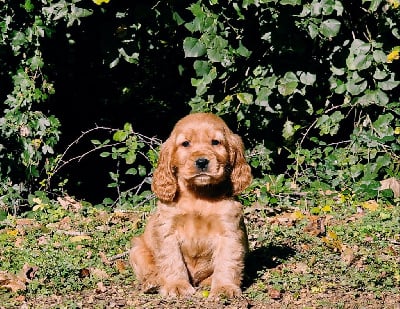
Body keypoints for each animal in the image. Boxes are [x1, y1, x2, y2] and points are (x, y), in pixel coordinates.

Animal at [130, 112, 252, 296]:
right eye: (185, 143)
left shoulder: (229, 231)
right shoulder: (168, 231)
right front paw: (176, 285)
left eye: (215, 142)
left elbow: (227, 261)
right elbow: (172, 260)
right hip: (137, 249)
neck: (198, 195)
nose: (201, 162)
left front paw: (224, 287)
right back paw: (153, 283)